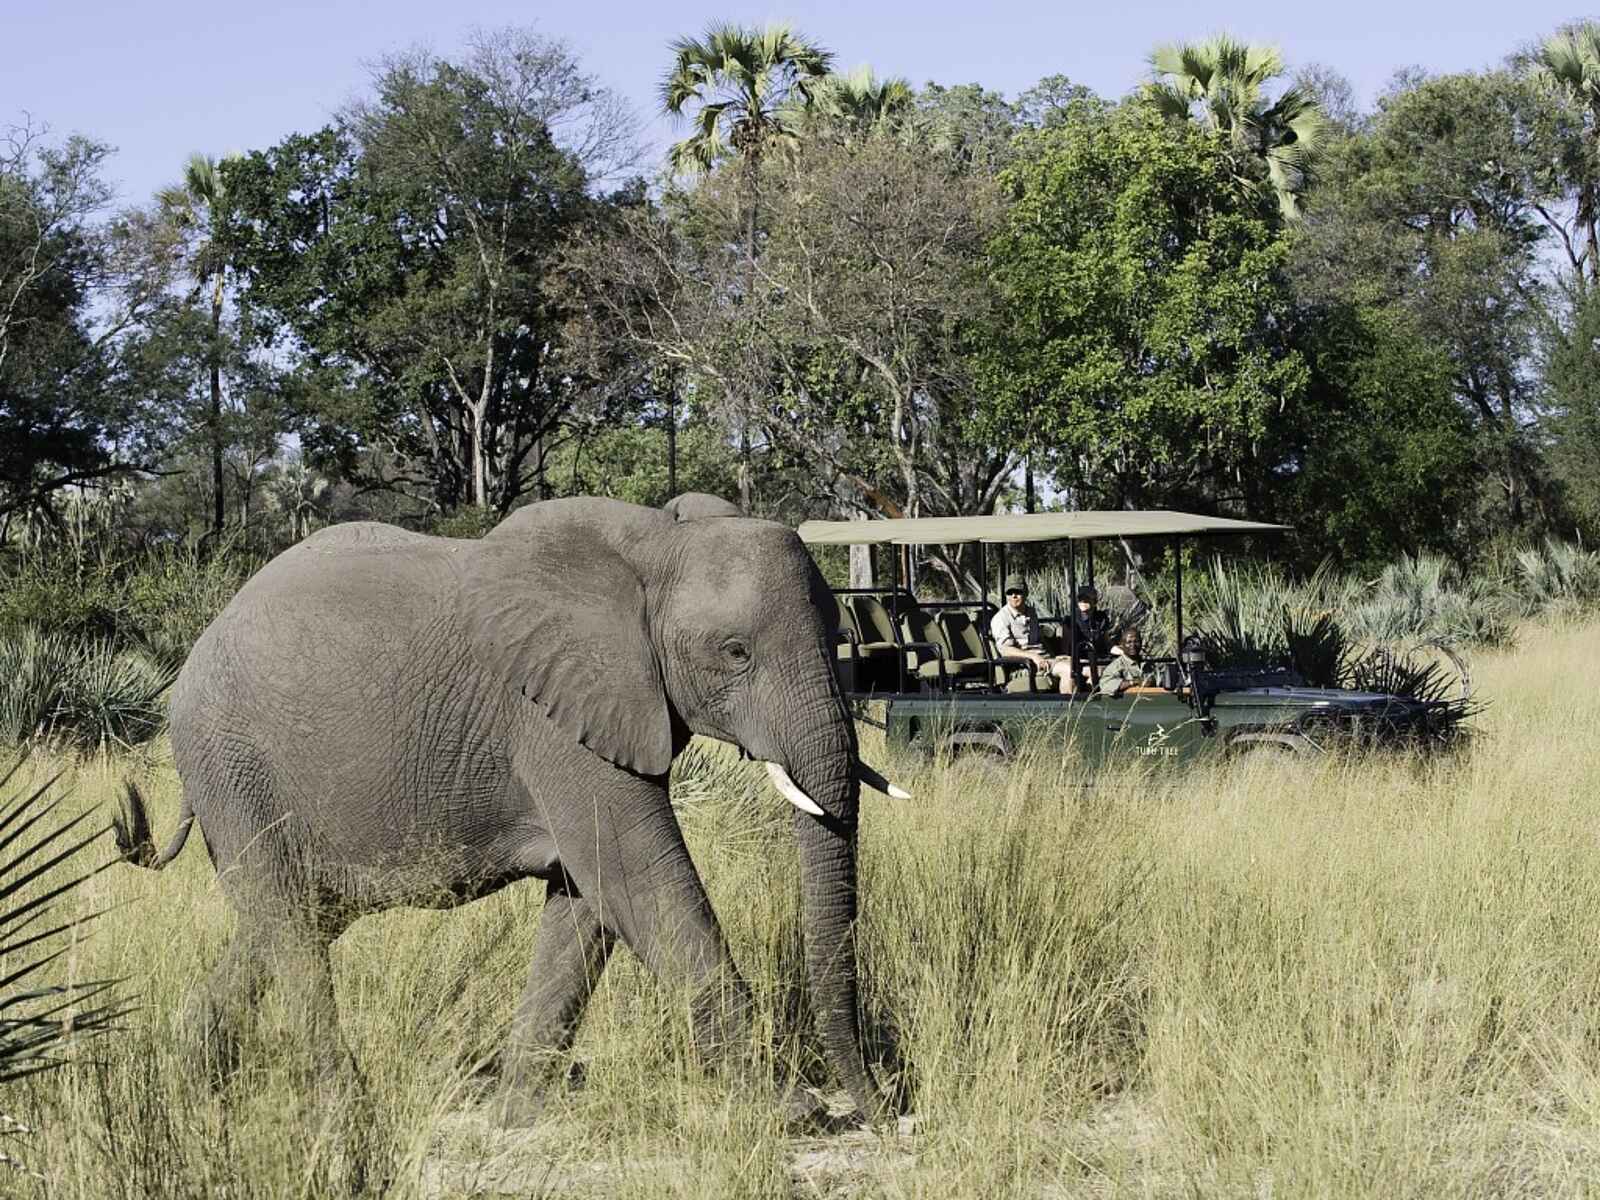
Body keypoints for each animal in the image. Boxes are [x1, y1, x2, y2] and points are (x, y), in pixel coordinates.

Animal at [115, 492, 908, 1127]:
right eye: (735, 652)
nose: (882, 1106)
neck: (653, 544)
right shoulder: (551, 718)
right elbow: (641, 879)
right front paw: (794, 1112)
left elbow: (587, 901)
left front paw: (520, 1116)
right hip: (231, 761)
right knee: (284, 922)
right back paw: (346, 1114)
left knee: (289, 920)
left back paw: (191, 1088)